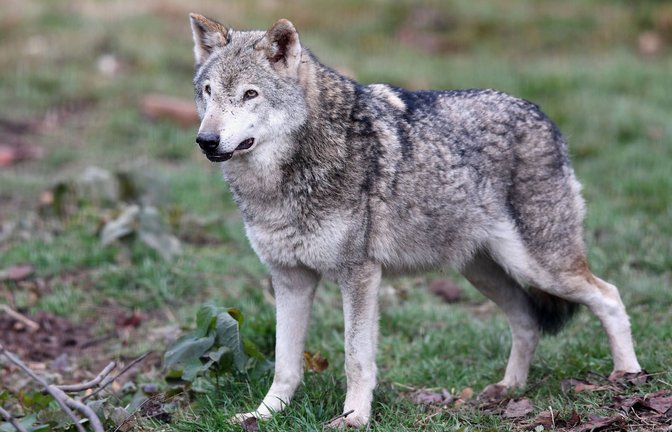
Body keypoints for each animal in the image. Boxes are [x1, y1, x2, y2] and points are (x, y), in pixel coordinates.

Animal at [188, 13, 642, 428]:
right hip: (484, 272)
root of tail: (543, 115)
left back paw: (628, 376)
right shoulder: (289, 278)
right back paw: (508, 389)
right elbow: (285, 364)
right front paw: (264, 414)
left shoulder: (359, 274)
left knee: (610, 295)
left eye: (250, 94)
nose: (206, 141)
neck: (280, 182)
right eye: (208, 92)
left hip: (541, 268)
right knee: (528, 320)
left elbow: (356, 358)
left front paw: (354, 418)